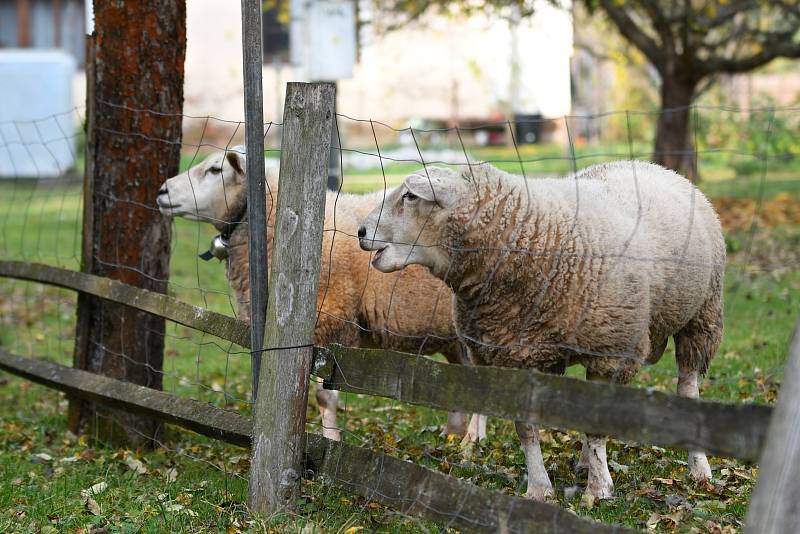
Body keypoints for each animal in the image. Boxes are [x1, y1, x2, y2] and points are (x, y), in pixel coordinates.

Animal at [159, 150, 488, 444]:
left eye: (215, 170)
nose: (162, 191)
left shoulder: (332, 324)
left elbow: (323, 396)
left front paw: (330, 439)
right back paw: (453, 432)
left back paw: (472, 440)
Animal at [360, 162, 728, 502]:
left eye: (410, 196)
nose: (361, 231)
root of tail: (655, 166)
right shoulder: (515, 356)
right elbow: (527, 428)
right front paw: (540, 488)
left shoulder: (610, 349)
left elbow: (596, 427)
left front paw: (599, 489)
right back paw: (585, 463)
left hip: (702, 317)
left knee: (687, 388)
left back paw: (699, 469)